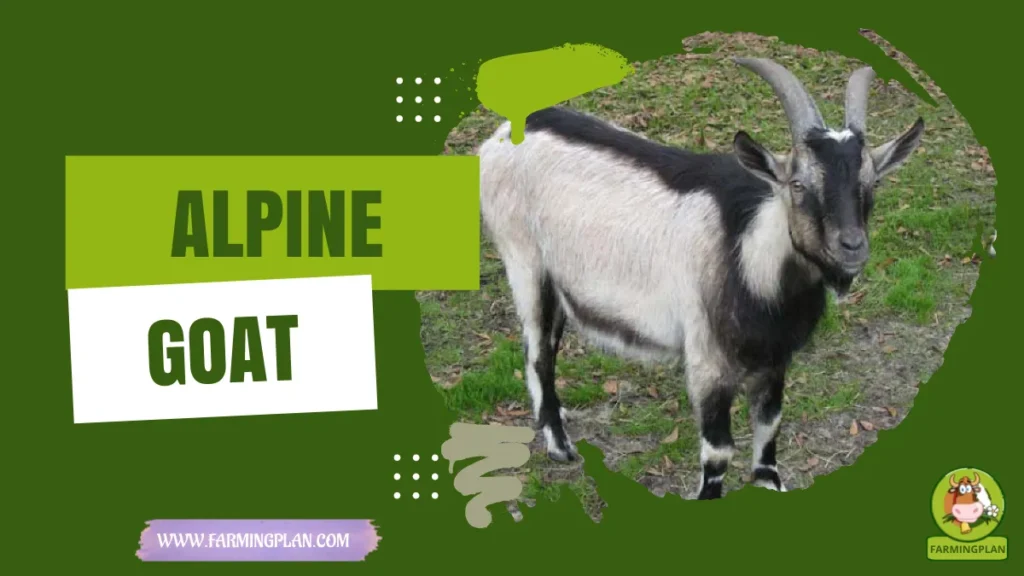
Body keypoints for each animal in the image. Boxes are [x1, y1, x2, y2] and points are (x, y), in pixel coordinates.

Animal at [477, 57, 924, 499]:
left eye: (871, 182)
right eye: (797, 184)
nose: (851, 247)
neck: (751, 260)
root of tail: (497, 139)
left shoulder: (775, 360)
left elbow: (769, 429)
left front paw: (770, 483)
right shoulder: (707, 361)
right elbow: (718, 452)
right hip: (526, 262)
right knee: (538, 352)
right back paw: (559, 445)